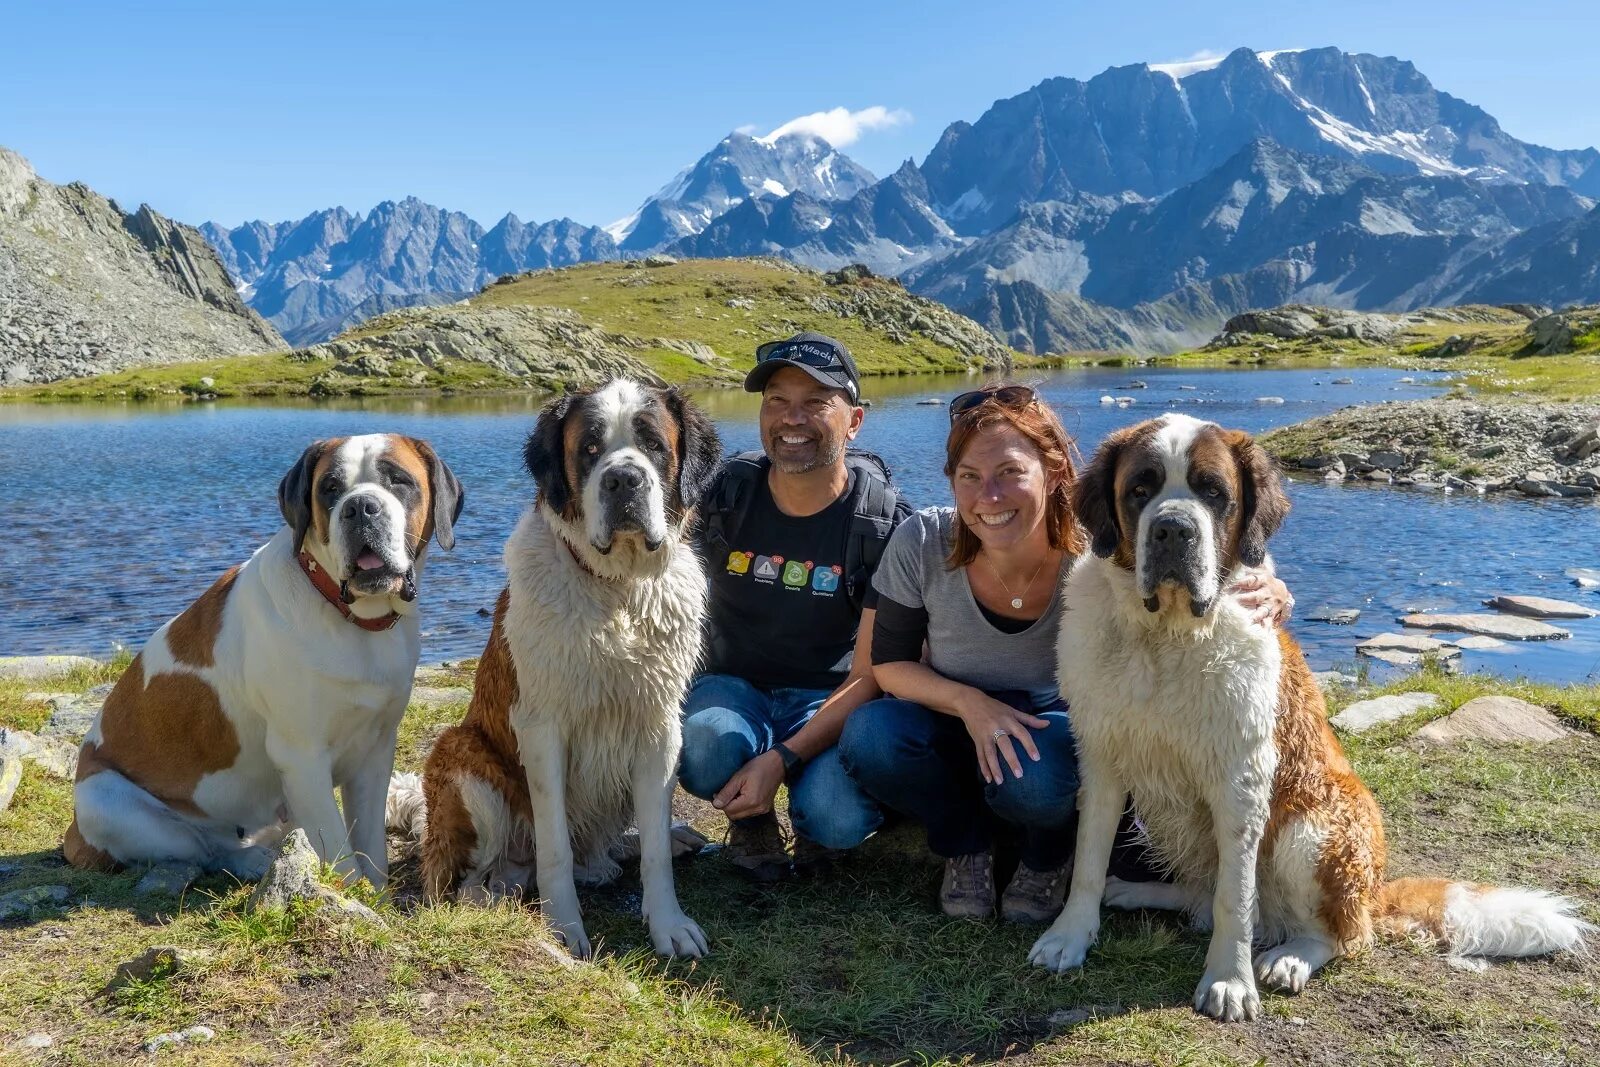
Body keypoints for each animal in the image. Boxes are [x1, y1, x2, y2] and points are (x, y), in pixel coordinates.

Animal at [64, 428, 464, 889]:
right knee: (205, 848)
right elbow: (341, 855)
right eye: (330, 489)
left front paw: (377, 893)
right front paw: (351, 894)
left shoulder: (375, 751)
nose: (361, 506)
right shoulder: (302, 759)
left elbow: (371, 846)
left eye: (399, 481)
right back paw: (253, 860)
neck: (352, 618)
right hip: (114, 806)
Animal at [419, 377, 726, 959]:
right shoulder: (541, 728)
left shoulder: (660, 728)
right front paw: (562, 930)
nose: (624, 479)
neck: (618, 590)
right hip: (462, 758)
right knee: (463, 878)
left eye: (654, 446)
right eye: (589, 449)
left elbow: (655, 847)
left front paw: (668, 924)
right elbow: (553, 842)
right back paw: (491, 895)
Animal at [1030, 412, 1593, 1023]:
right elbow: (1088, 858)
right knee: (1205, 893)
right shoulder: (1102, 756)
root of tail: (1374, 891)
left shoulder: (1242, 779)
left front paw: (1228, 981)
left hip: (1314, 829)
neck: (1166, 637)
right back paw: (1139, 892)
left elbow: (1235, 898)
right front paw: (1071, 935)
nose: (1174, 530)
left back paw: (1291, 957)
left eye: (1213, 493)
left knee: (1341, 933)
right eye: (1140, 490)